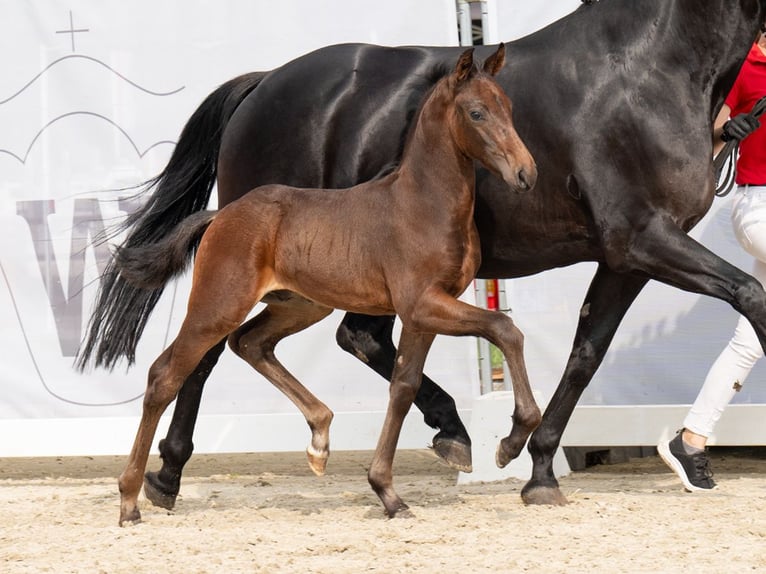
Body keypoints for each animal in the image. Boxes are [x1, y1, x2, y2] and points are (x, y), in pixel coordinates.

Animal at [76, 2, 766, 510]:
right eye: (479, 112)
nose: (523, 170)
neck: (649, 67)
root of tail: (262, 85)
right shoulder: (644, 238)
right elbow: (752, 296)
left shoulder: (625, 258)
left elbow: (584, 356)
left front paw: (539, 467)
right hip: (255, 277)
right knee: (210, 352)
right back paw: (163, 479)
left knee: (345, 339)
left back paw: (447, 432)